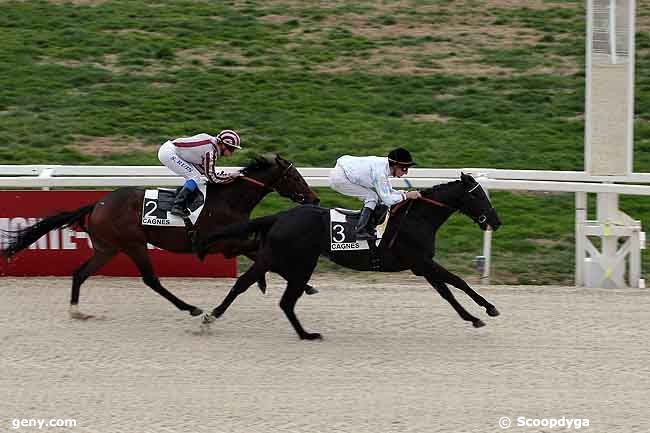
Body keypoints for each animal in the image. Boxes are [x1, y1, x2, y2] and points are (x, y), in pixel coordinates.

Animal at [1, 154, 318, 318]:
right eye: (294, 177)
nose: (314, 199)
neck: (230, 201)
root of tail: (98, 204)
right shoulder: (220, 243)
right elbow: (259, 252)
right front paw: (282, 282)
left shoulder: (231, 242)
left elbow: (260, 253)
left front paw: (303, 285)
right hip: (134, 243)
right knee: (151, 280)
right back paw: (189, 308)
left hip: (107, 248)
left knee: (80, 272)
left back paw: (76, 310)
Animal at [197, 171, 502, 338]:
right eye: (477, 196)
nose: (496, 221)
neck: (417, 218)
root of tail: (281, 215)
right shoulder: (422, 261)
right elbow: (457, 283)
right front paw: (488, 309)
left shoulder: (421, 266)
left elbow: (448, 291)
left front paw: (475, 316)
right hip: (284, 258)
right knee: (247, 285)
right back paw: (211, 317)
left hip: (290, 260)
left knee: (271, 291)